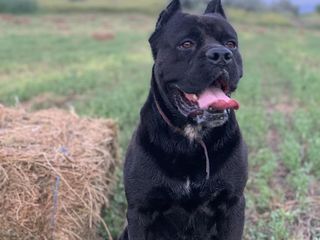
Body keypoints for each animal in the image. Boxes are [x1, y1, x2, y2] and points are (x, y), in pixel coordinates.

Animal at [119, 0, 248, 239]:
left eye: (231, 44)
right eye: (186, 44)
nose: (222, 54)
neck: (192, 137)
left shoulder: (233, 205)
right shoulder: (140, 210)